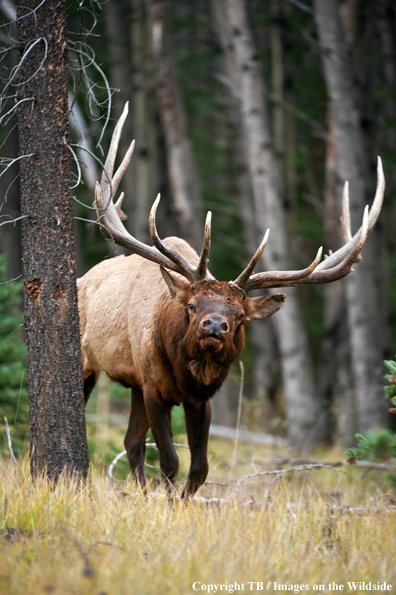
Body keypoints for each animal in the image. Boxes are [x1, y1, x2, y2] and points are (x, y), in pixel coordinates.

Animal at [77, 103, 384, 498]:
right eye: (192, 306)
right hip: (91, 365)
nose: (214, 326)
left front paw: (178, 501)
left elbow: (200, 468)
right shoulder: (152, 385)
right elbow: (170, 461)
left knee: (131, 442)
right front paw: (166, 502)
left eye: (239, 315)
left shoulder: (199, 400)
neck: (186, 372)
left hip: (131, 385)